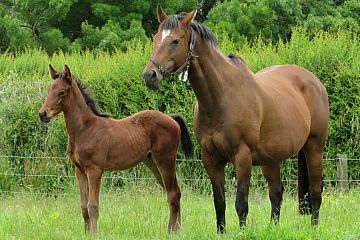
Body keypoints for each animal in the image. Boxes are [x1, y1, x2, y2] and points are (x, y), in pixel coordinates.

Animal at [38, 64, 194, 237]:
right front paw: (87, 234)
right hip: (152, 162)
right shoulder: (79, 171)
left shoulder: (95, 170)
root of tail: (171, 118)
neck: (84, 129)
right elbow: (84, 207)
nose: (42, 114)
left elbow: (93, 207)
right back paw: (178, 230)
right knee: (174, 192)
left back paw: (171, 232)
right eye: (50, 89)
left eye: (62, 92)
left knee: (173, 194)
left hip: (165, 160)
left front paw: (94, 235)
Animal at [143, 6, 330, 233]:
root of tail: (314, 81)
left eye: (175, 41)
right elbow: (219, 201)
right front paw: (221, 231)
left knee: (315, 191)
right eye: (155, 38)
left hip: (314, 148)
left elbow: (241, 202)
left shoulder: (242, 156)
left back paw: (314, 227)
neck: (222, 96)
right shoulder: (211, 158)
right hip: (270, 159)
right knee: (276, 192)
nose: (149, 75)